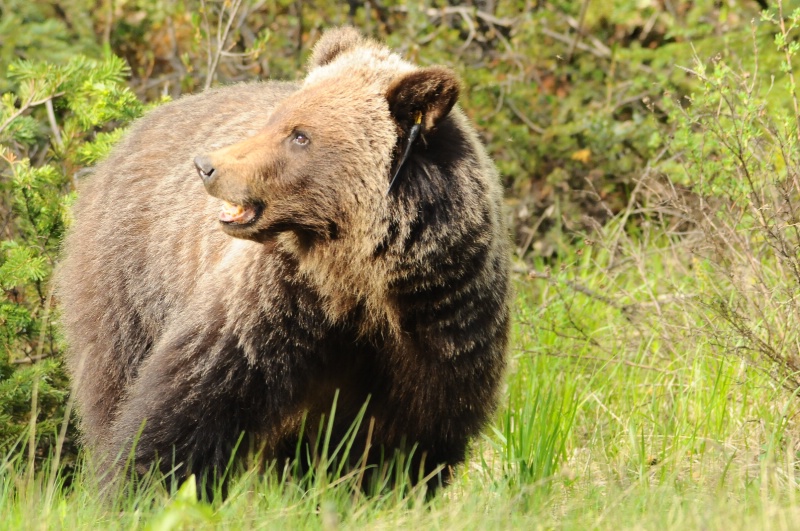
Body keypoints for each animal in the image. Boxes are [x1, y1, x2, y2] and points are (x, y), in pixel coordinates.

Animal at [56, 28, 510, 494]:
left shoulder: (441, 319)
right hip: (132, 279)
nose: (206, 165)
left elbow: (415, 432)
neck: (359, 282)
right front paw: (141, 483)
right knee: (113, 373)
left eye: (300, 135)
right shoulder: (278, 301)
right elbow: (193, 393)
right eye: (276, 119)